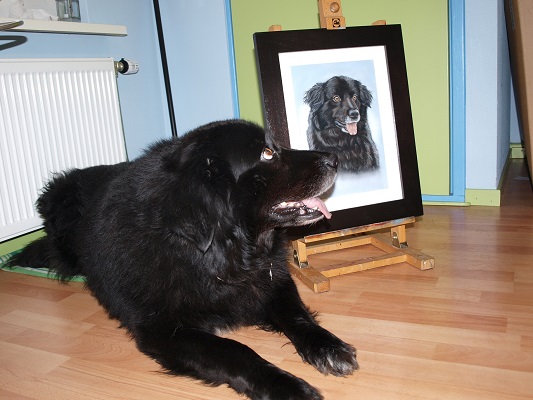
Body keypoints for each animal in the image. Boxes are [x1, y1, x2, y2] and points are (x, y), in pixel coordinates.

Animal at [9, 119, 358, 400]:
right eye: (267, 154)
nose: (335, 158)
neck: (220, 255)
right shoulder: (163, 330)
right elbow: (235, 351)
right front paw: (286, 386)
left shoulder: (271, 281)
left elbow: (298, 316)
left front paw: (329, 347)